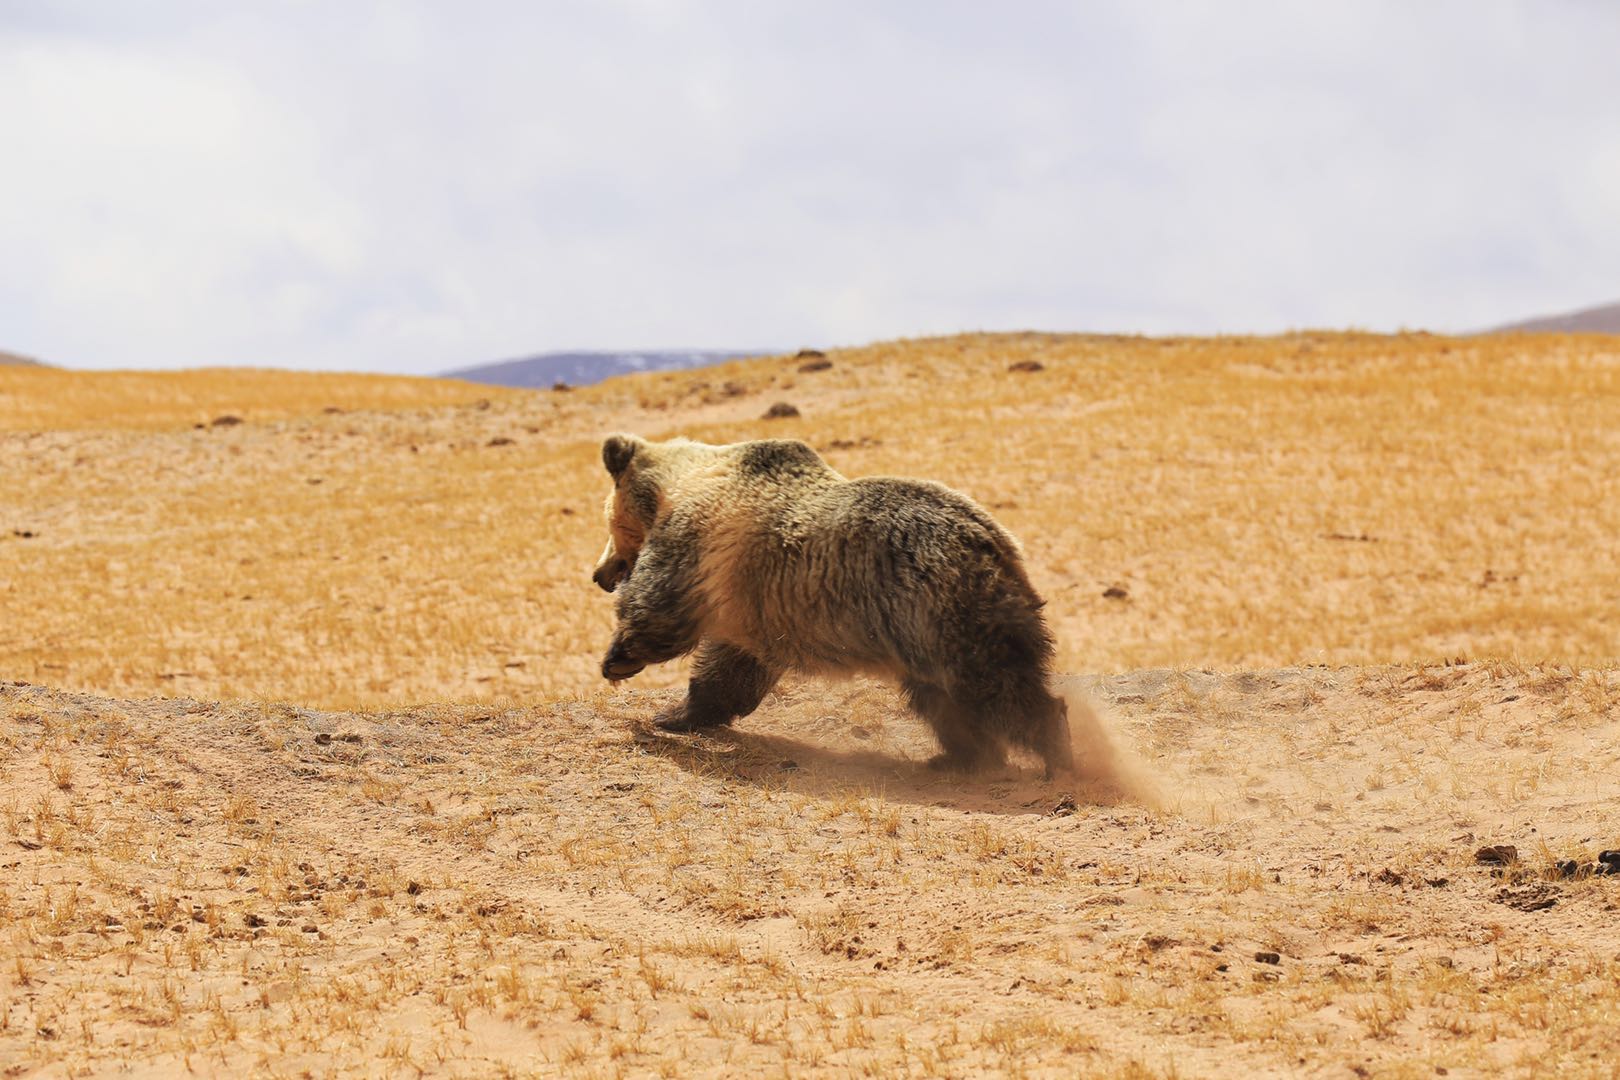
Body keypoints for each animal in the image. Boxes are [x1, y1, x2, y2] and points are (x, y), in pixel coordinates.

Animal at [589, 433, 1069, 780]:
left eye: (608, 523)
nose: (600, 574)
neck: (677, 487)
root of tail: (995, 543)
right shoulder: (752, 601)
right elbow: (729, 670)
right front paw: (679, 714)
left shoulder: (702, 545)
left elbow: (661, 604)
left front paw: (620, 661)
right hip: (925, 635)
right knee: (946, 700)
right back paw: (959, 758)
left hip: (947, 613)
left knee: (997, 688)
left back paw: (1056, 755)